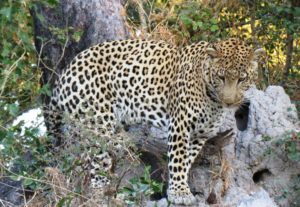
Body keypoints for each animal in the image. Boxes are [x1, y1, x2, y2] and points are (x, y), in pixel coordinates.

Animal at [45, 38, 264, 205]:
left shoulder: (199, 134)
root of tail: (64, 73)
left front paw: (178, 189)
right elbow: (178, 160)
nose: (229, 101)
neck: (213, 99)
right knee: (95, 167)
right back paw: (103, 196)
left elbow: (186, 162)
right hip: (98, 124)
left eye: (242, 79)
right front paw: (179, 193)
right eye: (221, 77)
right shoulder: (180, 125)